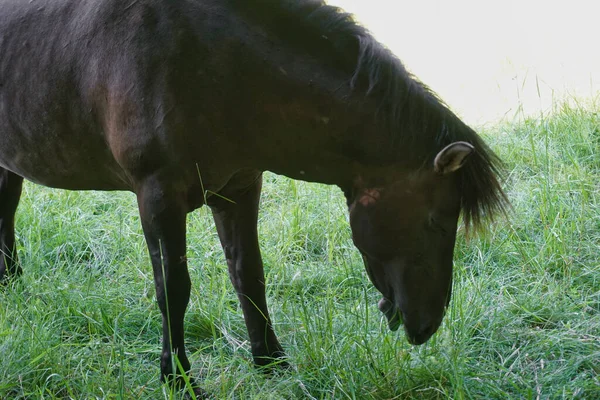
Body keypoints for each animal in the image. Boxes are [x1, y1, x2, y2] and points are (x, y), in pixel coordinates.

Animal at [0, 0, 506, 396]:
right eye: (437, 221)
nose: (428, 324)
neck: (209, 62)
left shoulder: (239, 188)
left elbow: (249, 274)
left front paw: (270, 361)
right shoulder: (158, 196)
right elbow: (173, 290)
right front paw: (178, 378)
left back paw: (9, 282)